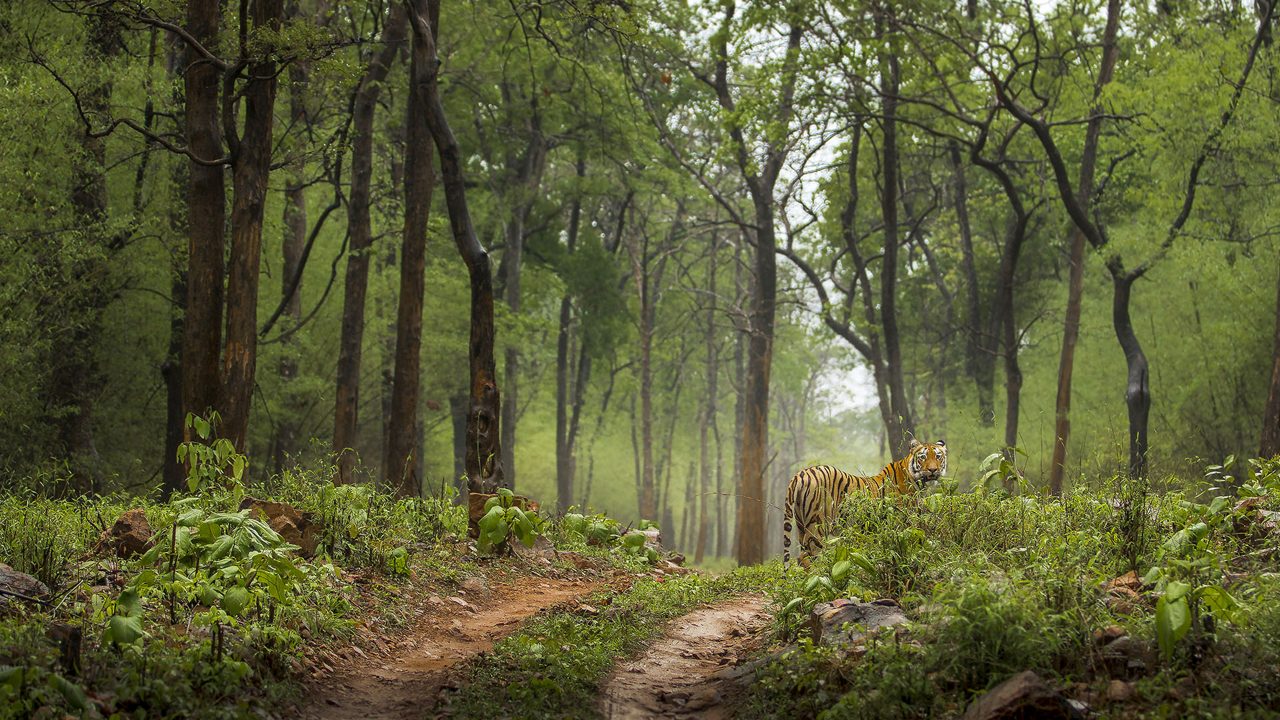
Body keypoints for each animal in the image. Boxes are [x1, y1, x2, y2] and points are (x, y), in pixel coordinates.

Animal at [778, 438, 952, 566]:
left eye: (938, 456)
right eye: (923, 457)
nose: (933, 470)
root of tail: (800, 474)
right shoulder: (902, 524)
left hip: (802, 525)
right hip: (818, 525)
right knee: (807, 556)